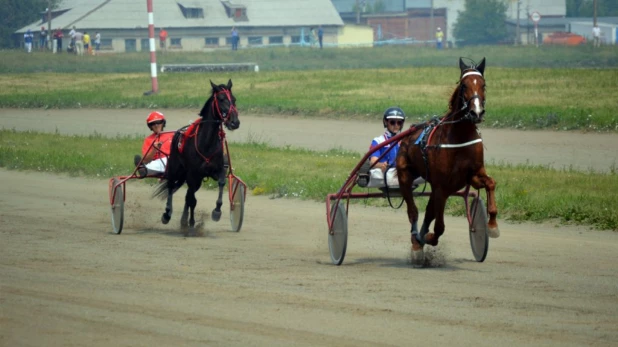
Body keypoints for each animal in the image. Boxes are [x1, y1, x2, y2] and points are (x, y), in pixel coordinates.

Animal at [154, 79, 238, 234]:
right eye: (221, 99)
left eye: (234, 99)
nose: (235, 122)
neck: (206, 142)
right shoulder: (192, 173)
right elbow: (192, 200)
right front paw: (191, 223)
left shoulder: (216, 170)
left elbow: (221, 183)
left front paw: (216, 212)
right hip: (175, 169)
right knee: (171, 187)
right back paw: (167, 214)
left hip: (196, 179)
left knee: (187, 194)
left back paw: (183, 221)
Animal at [394, 57, 500, 264]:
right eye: (464, 85)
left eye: (483, 84)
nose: (476, 113)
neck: (459, 136)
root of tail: (409, 134)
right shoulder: (441, 185)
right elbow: (439, 227)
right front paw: (427, 238)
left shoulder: (473, 175)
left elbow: (491, 183)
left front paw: (492, 226)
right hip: (405, 174)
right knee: (413, 211)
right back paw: (417, 242)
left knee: (429, 211)